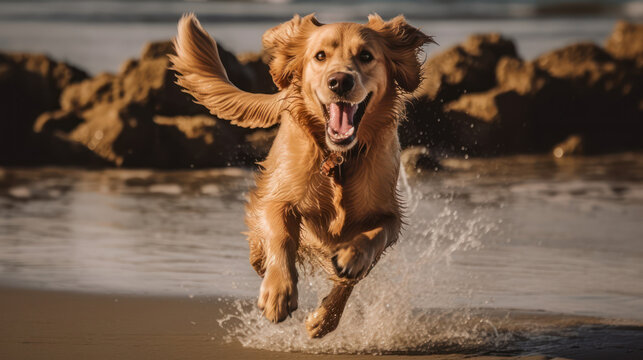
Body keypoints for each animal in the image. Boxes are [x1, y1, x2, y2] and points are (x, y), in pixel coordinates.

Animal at [171, 11, 432, 338]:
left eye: (366, 56)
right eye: (320, 56)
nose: (340, 81)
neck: (338, 158)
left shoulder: (390, 214)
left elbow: (371, 241)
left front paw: (332, 301)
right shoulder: (279, 198)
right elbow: (281, 235)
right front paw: (278, 293)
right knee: (262, 250)